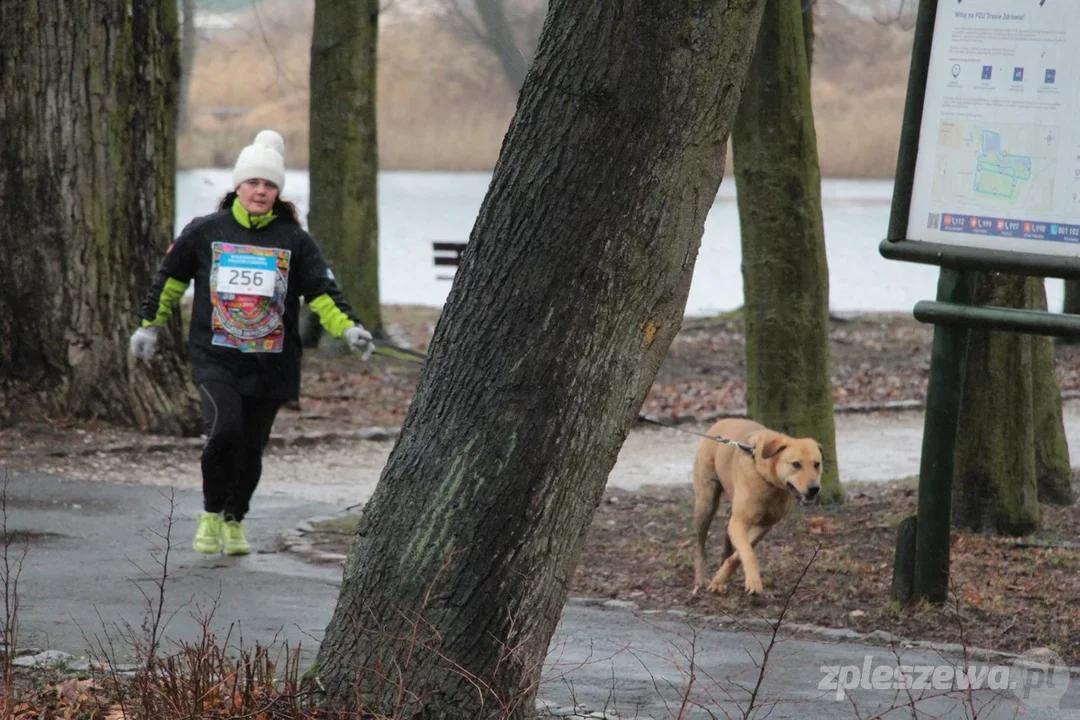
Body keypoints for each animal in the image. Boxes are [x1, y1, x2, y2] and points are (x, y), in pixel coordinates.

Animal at [695, 418, 820, 595]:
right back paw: (700, 579)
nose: (814, 488)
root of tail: (721, 421)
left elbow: (739, 553)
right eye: (796, 464)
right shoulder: (739, 523)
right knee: (700, 544)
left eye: (817, 464)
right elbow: (748, 554)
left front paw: (721, 577)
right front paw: (753, 582)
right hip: (706, 502)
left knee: (727, 532)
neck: (769, 483)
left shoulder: (765, 525)